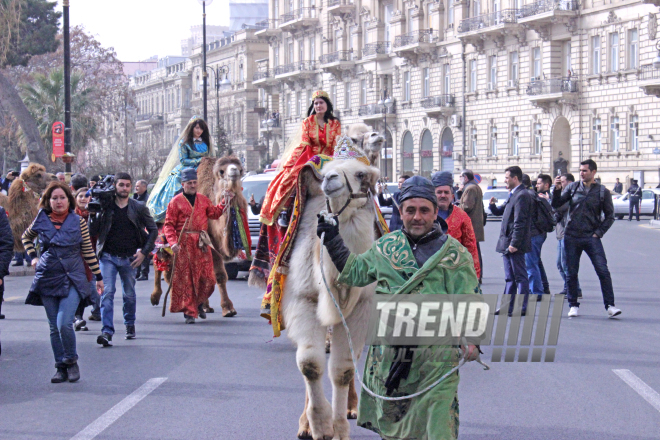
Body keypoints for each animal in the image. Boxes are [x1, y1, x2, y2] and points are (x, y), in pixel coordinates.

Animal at [280, 158, 382, 440]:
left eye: (361, 174)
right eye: (325, 172)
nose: (330, 179)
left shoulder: (362, 308)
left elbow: (343, 370)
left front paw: (339, 429)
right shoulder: (303, 300)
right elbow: (309, 364)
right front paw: (321, 427)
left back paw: (351, 408)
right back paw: (305, 424)